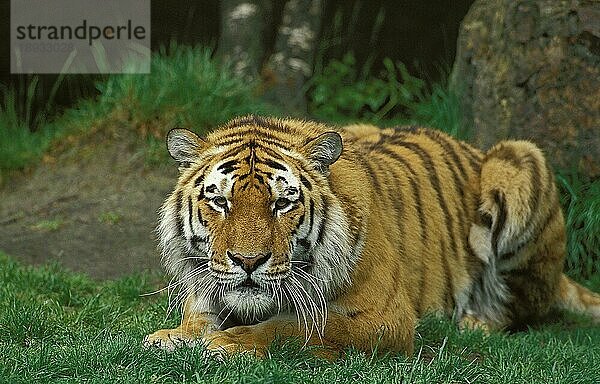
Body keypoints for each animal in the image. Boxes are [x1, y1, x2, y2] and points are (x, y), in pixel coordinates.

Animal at [144, 115, 600, 356]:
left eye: (283, 203)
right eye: (220, 202)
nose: (248, 262)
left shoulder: (384, 317)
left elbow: (296, 328)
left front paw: (227, 343)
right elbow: (198, 316)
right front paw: (173, 337)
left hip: (520, 160)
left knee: (523, 308)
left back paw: (474, 324)